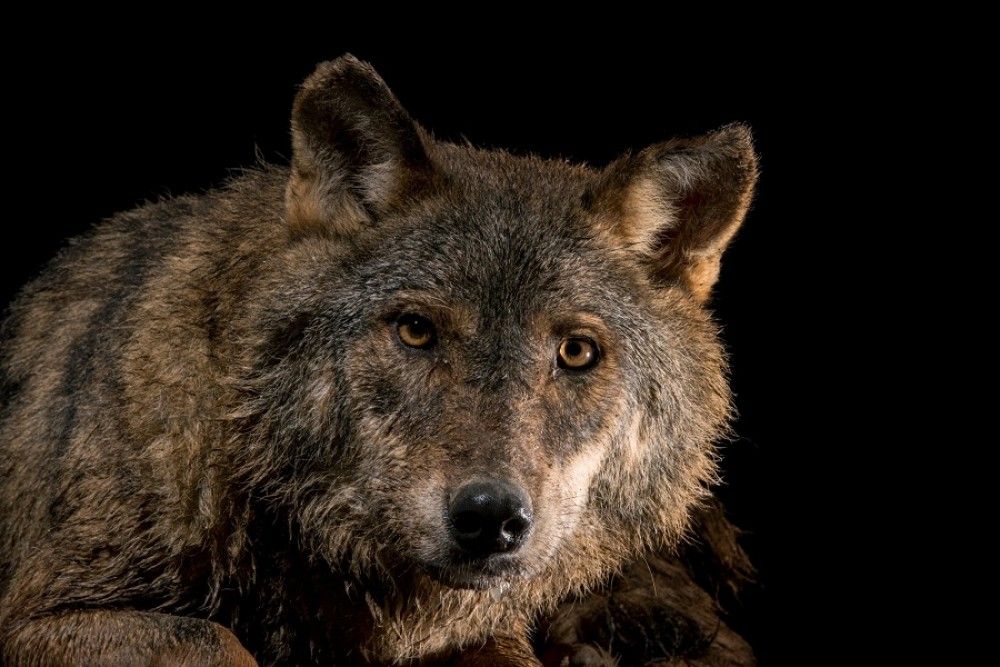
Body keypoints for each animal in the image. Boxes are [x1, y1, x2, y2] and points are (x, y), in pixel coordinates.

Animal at [0, 55, 758, 665]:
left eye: (576, 351)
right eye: (417, 331)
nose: (490, 517)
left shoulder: (484, 634)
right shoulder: (32, 620)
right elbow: (217, 639)